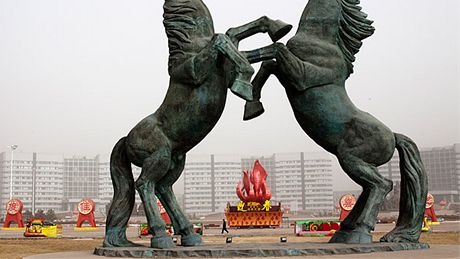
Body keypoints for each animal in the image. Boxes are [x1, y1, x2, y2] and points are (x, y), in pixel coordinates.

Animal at [104, 0, 292, 250]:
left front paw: (278, 29)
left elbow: (237, 37)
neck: (191, 46)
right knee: (144, 184)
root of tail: (126, 140)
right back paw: (161, 236)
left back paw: (188, 234)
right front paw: (244, 84)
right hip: (158, 156)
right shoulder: (201, 69)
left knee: (163, 188)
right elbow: (222, 39)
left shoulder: (225, 68)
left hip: (176, 160)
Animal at [244, 0, 428, 245]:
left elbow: (275, 49)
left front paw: (240, 56)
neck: (322, 39)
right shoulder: (288, 73)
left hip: (350, 158)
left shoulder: (300, 76)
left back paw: (360, 230)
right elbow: (268, 64)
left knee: (381, 185)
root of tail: (393, 136)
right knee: (368, 188)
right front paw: (252, 106)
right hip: (358, 162)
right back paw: (346, 228)